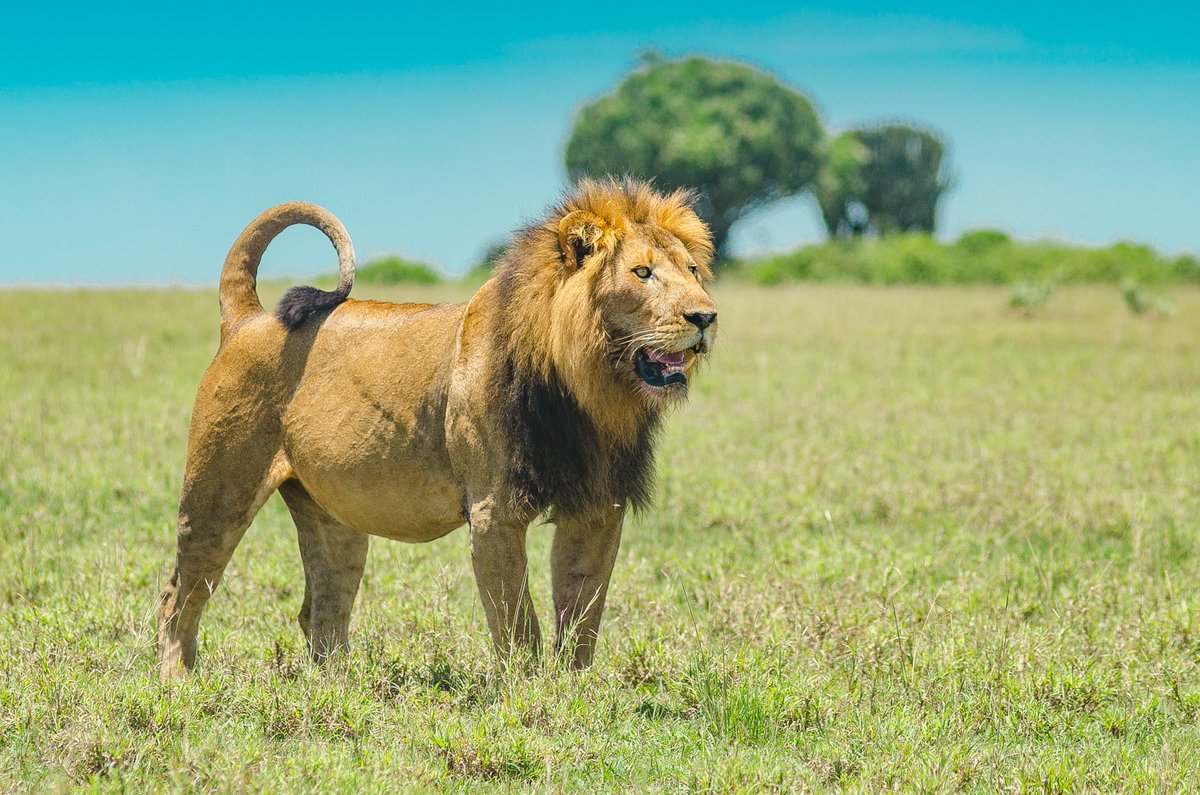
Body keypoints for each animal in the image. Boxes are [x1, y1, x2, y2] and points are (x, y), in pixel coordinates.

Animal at [157, 177, 718, 679]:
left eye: (693, 270)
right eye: (642, 272)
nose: (706, 316)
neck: (589, 391)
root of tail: (249, 318)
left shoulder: (598, 507)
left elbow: (582, 614)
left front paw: (574, 693)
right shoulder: (494, 512)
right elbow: (518, 624)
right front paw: (529, 697)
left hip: (332, 516)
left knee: (321, 609)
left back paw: (341, 690)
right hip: (217, 493)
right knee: (178, 596)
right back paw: (177, 682)